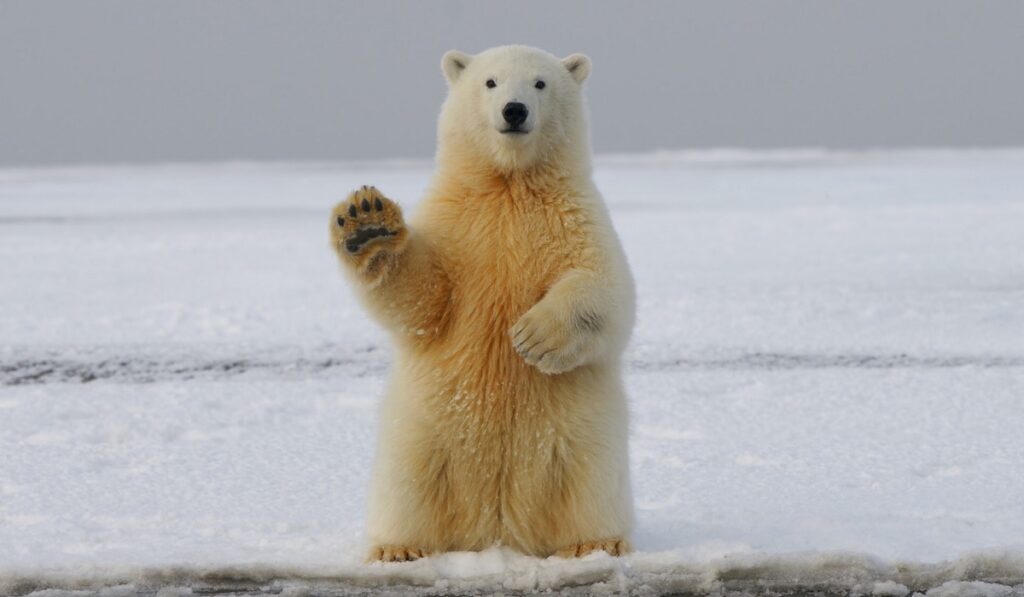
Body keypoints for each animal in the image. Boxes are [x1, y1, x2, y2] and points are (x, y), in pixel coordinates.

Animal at [329, 45, 630, 561]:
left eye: (540, 83)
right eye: (490, 82)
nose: (515, 110)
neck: (508, 185)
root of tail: (497, 530)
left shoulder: (576, 218)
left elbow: (605, 287)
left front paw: (533, 337)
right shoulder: (456, 225)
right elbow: (425, 299)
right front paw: (367, 222)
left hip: (583, 435)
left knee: (590, 483)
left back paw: (595, 543)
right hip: (422, 432)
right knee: (408, 484)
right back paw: (398, 548)